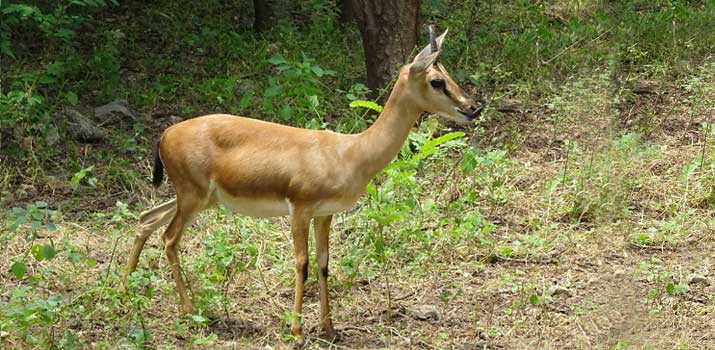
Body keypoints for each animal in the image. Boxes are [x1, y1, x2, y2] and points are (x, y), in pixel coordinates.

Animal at [124, 28, 482, 342]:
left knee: (145, 219)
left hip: (198, 198)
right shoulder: (300, 210)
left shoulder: (325, 214)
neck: (349, 153)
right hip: (193, 198)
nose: (473, 108)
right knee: (169, 238)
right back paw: (188, 310)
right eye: (437, 80)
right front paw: (296, 332)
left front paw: (330, 329)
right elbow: (302, 264)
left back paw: (127, 288)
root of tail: (166, 134)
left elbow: (324, 264)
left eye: (448, 74)